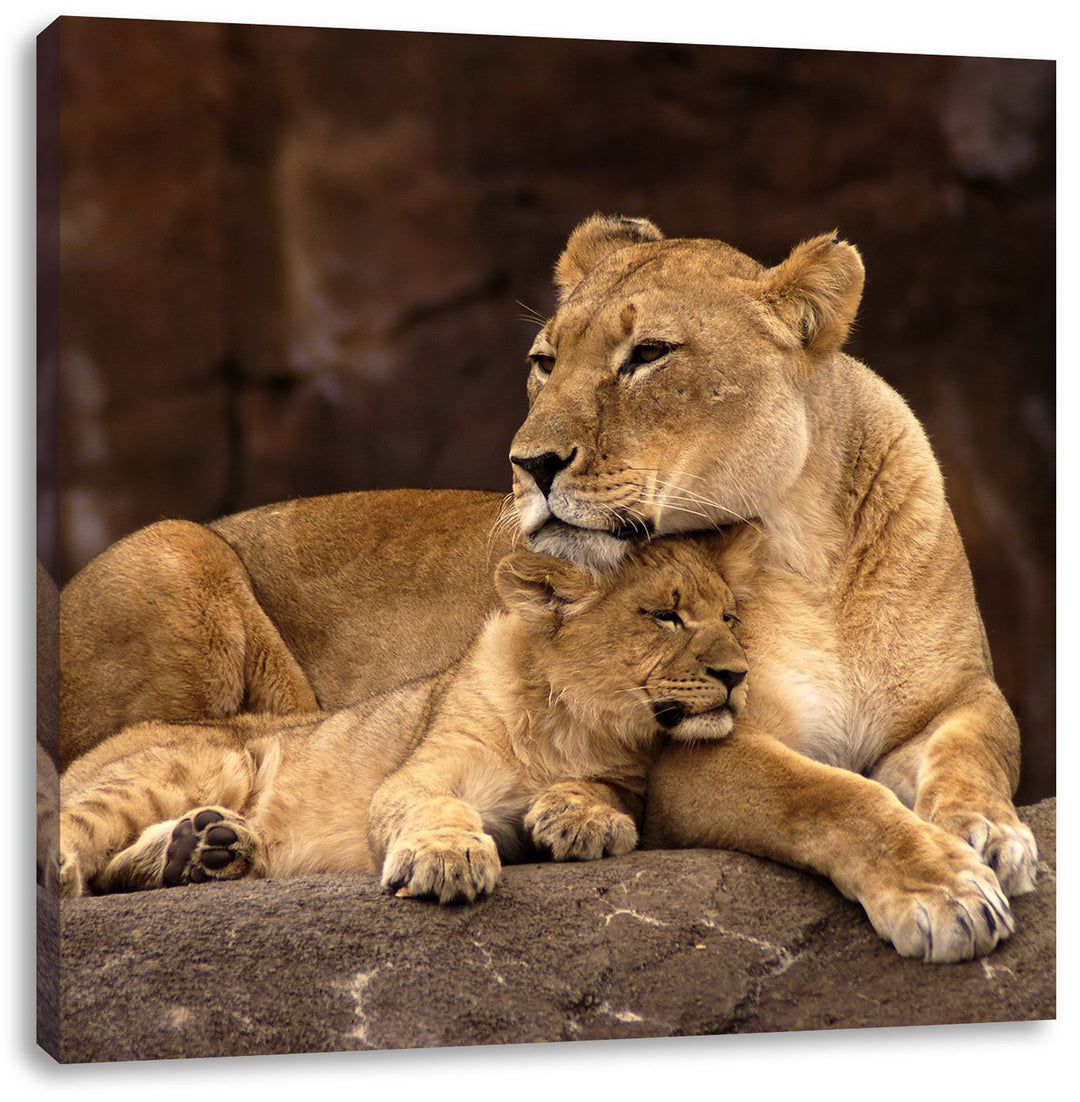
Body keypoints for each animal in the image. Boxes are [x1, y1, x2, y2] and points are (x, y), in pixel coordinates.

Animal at [58, 535, 754, 903]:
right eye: (665, 616)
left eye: (730, 618)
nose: (738, 674)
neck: (575, 725)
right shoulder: (418, 772)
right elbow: (435, 806)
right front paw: (448, 859)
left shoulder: (630, 777)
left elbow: (607, 790)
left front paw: (581, 817)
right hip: (210, 759)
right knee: (81, 829)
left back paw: (205, 850)